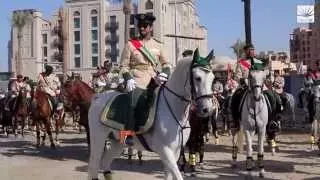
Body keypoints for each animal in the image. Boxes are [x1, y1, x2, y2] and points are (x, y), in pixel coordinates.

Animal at [87, 49, 215, 180]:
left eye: (213, 78)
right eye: (198, 78)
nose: (207, 109)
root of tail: (98, 97)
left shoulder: (175, 151)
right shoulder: (165, 151)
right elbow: (178, 175)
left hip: (117, 142)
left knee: (105, 163)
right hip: (98, 137)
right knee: (94, 165)